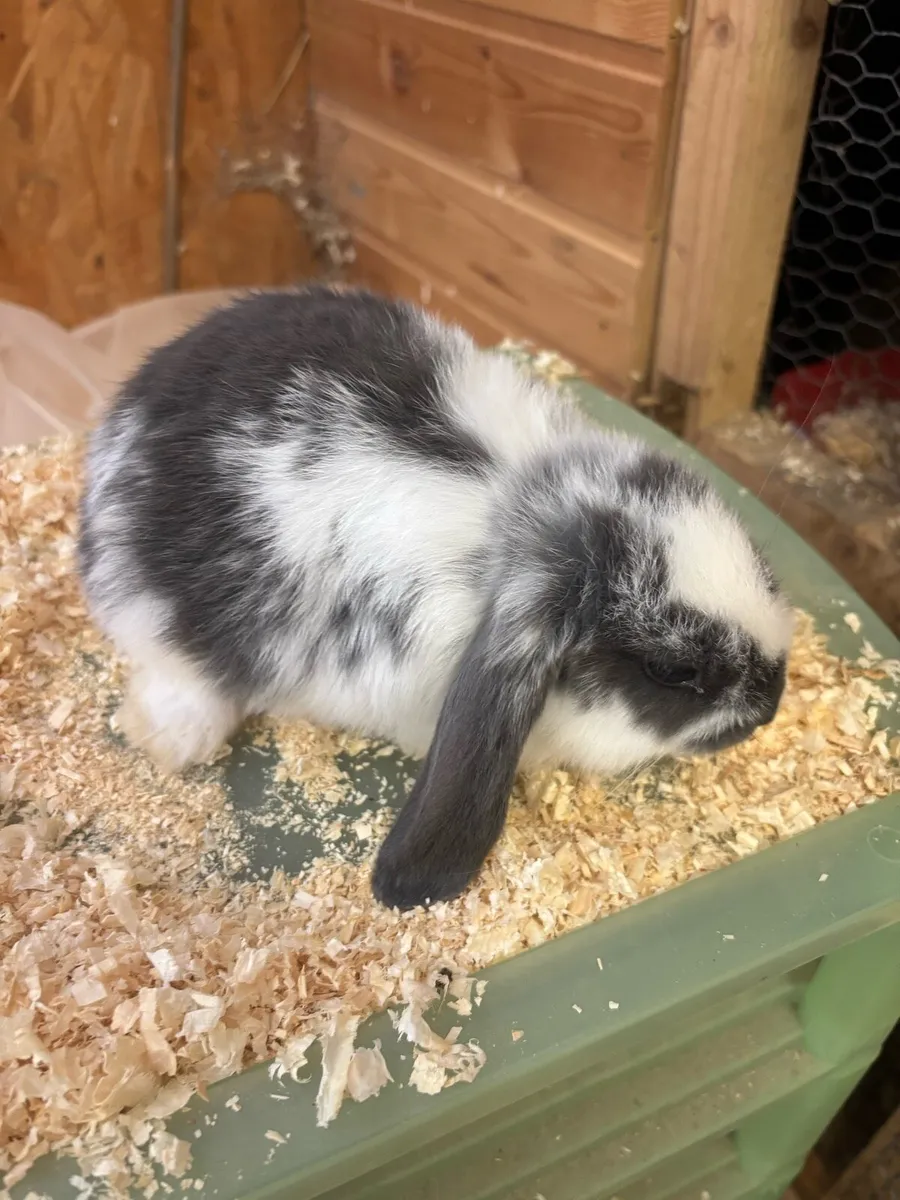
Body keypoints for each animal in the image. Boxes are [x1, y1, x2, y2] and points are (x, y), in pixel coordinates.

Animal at [78, 285, 794, 911]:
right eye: (673, 670)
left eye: (762, 566)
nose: (769, 708)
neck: (526, 516)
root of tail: (110, 441)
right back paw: (165, 736)